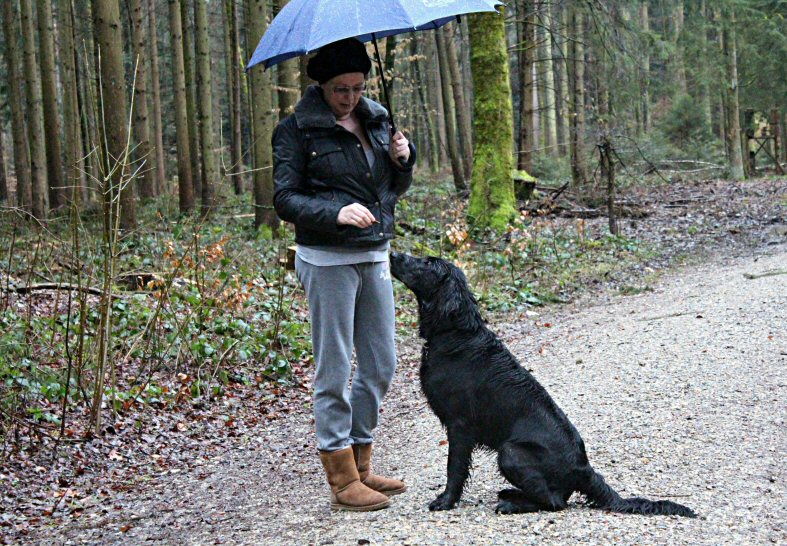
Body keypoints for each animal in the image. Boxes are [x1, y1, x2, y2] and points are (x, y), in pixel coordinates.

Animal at [389, 252, 695, 517]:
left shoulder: (460, 425)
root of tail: (584, 469)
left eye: (428, 263)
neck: (455, 332)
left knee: (555, 502)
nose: (393, 254)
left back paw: (511, 504)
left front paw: (446, 501)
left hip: (510, 451)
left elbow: (454, 469)